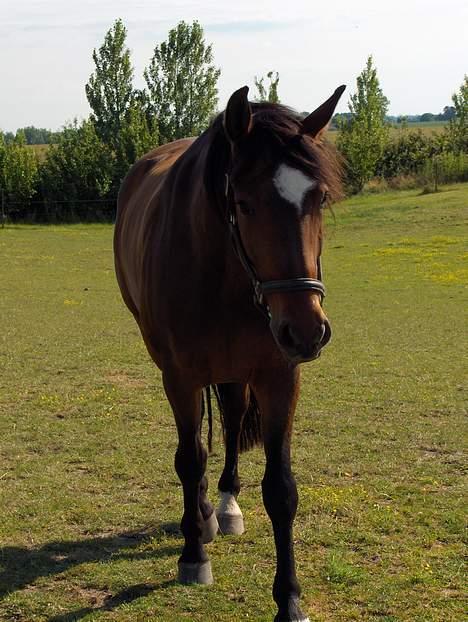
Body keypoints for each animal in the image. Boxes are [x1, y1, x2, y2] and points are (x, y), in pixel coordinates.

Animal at [114, 84, 344, 622]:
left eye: (319, 198)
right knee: (197, 444)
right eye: (244, 201)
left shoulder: (279, 376)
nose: (306, 331)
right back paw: (200, 516)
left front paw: (289, 599)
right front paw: (193, 555)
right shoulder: (179, 377)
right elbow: (189, 458)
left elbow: (280, 490)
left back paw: (224, 506)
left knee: (234, 420)